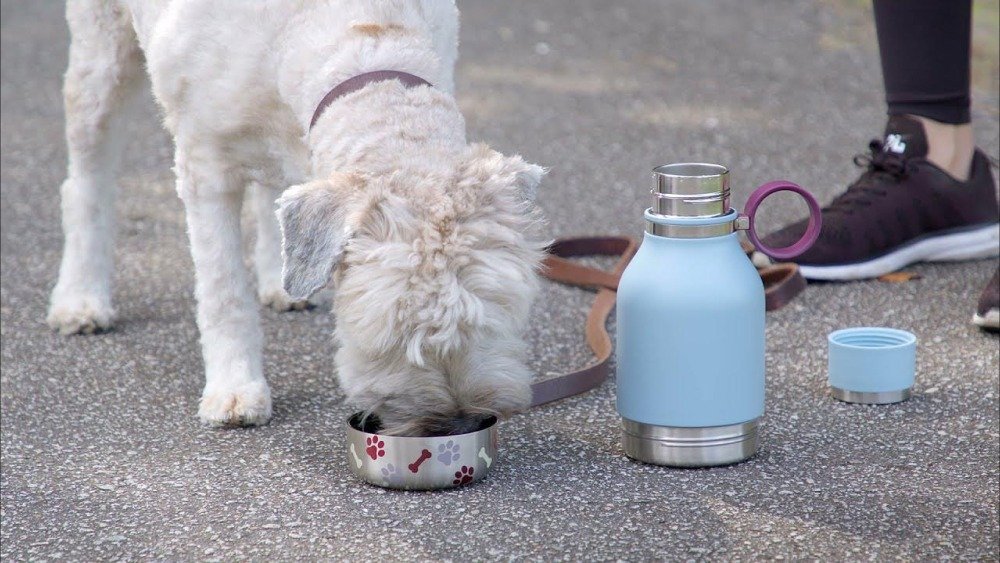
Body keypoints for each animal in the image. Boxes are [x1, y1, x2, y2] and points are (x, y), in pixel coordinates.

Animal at [47, 0, 548, 436]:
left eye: (491, 317)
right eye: (392, 330)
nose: (460, 425)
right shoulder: (205, 166)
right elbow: (224, 292)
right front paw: (235, 389)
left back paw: (280, 283)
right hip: (100, 62)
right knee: (85, 183)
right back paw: (80, 301)